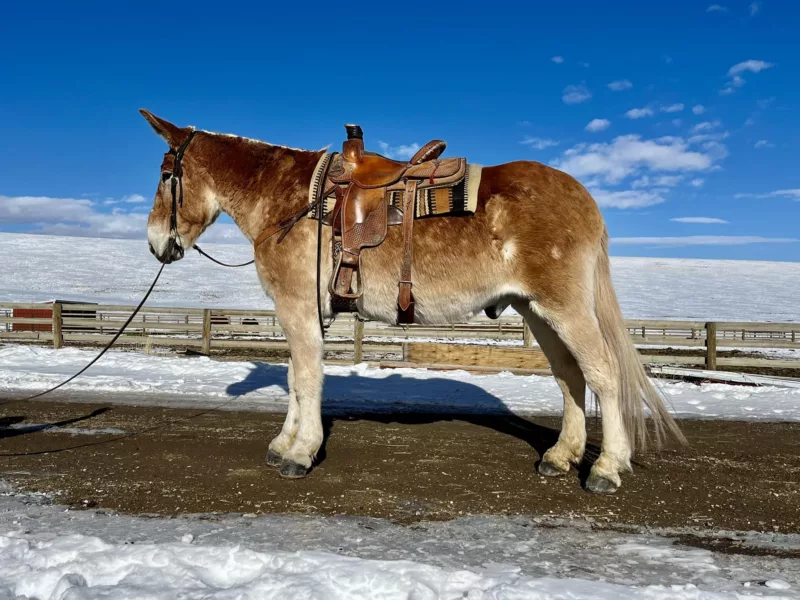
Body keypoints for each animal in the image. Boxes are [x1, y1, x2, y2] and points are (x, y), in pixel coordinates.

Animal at [140, 109, 685, 494]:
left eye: (166, 175)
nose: (155, 243)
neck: (289, 199)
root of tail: (584, 198)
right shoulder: (302, 312)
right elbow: (297, 378)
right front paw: (284, 443)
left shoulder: (298, 306)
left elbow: (306, 378)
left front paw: (299, 452)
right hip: (537, 311)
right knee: (571, 377)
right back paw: (560, 455)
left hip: (565, 308)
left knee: (603, 373)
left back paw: (607, 467)